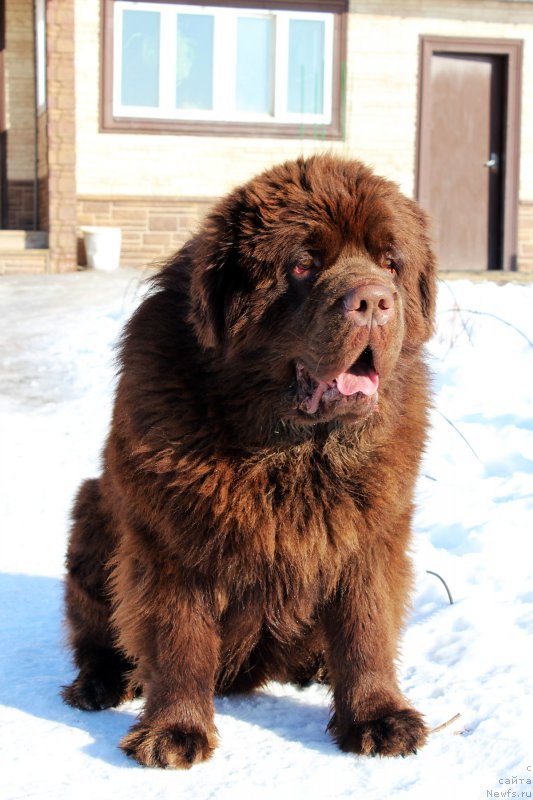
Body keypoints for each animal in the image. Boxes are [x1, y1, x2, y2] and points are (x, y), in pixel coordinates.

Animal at [62, 155, 436, 768]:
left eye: (390, 262)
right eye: (303, 264)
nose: (373, 300)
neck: (290, 452)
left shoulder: (369, 536)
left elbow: (367, 625)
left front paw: (379, 717)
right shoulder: (173, 540)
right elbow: (179, 637)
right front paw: (174, 731)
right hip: (91, 511)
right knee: (96, 632)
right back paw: (101, 683)